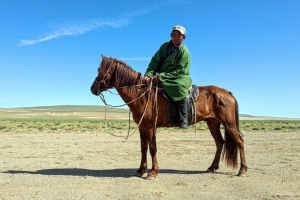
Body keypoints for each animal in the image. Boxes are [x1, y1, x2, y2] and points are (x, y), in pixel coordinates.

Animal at [89, 55, 248, 180]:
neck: (142, 95)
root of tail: (227, 92)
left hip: (228, 123)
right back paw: (212, 167)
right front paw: (140, 170)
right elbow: (143, 148)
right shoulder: (142, 127)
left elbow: (152, 148)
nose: (93, 89)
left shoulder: (151, 127)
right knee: (220, 143)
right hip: (213, 123)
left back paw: (243, 170)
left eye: (102, 72)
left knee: (239, 141)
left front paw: (153, 172)